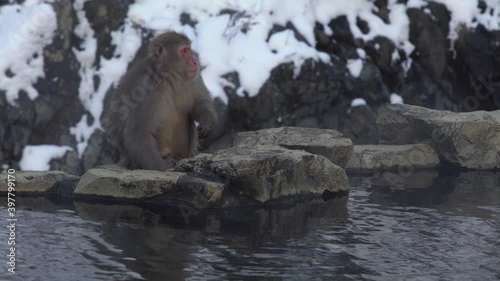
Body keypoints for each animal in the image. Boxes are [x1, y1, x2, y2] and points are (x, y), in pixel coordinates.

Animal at [102, 31, 217, 170]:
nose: (195, 62)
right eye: (184, 51)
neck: (168, 76)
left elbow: (199, 102)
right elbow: (137, 132)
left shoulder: (194, 76)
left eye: (189, 50)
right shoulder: (142, 90)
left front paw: (206, 124)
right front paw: (162, 167)